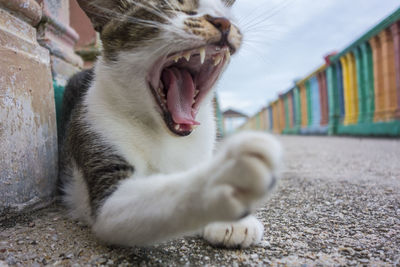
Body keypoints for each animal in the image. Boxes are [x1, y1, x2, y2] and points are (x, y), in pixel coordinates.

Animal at [61, 0, 282, 249]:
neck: (163, 132)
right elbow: (162, 193)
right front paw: (226, 175)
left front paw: (233, 222)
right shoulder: (97, 131)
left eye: (226, 13)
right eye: (177, 7)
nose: (223, 22)